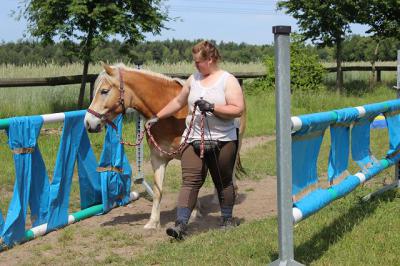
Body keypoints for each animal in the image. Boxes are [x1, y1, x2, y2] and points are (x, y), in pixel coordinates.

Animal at [84, 63, 245, 230]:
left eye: (104, 91)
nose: (88, 123)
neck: (170, 116)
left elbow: (192, 181)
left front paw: (194, 212)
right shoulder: (158, 158)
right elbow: (158, 190)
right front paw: (153, 222)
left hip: (236, 144)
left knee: (229, 171)